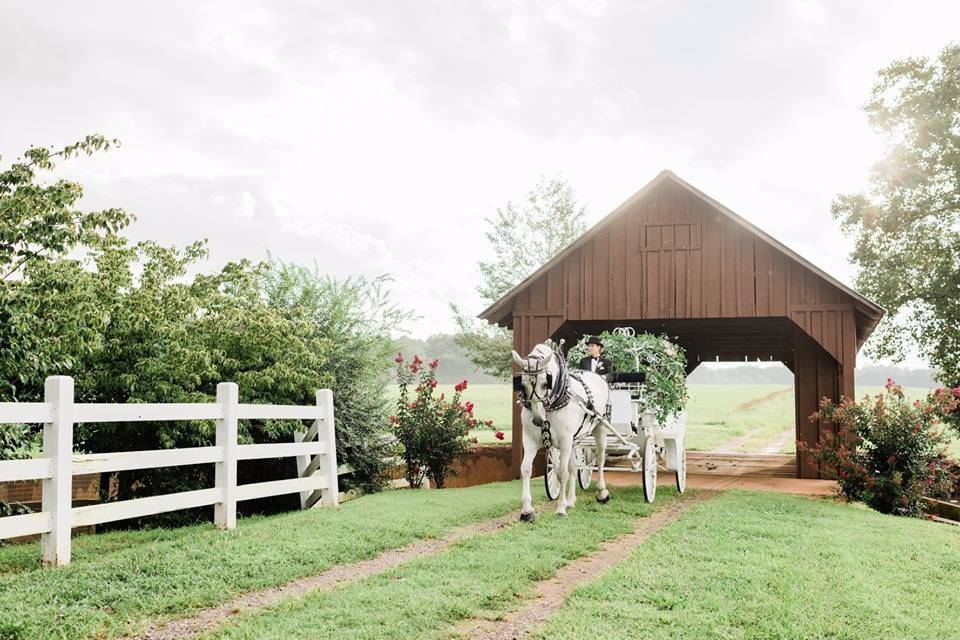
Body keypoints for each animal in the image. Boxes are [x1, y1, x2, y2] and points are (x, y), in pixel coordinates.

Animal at [512, 342, 612, 516]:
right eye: (522, 385)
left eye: (546, 383)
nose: (537, 420)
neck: (552, 403)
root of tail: (599, 377)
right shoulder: (530, 439)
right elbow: (526, 469)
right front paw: (527, 509)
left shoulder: (565, 440)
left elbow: (561, 473)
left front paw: (560, 508)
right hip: (575, 439)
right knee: (574, 466)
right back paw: (571, 500)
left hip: (600, 427)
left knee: (600, 459)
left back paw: (602, 492)